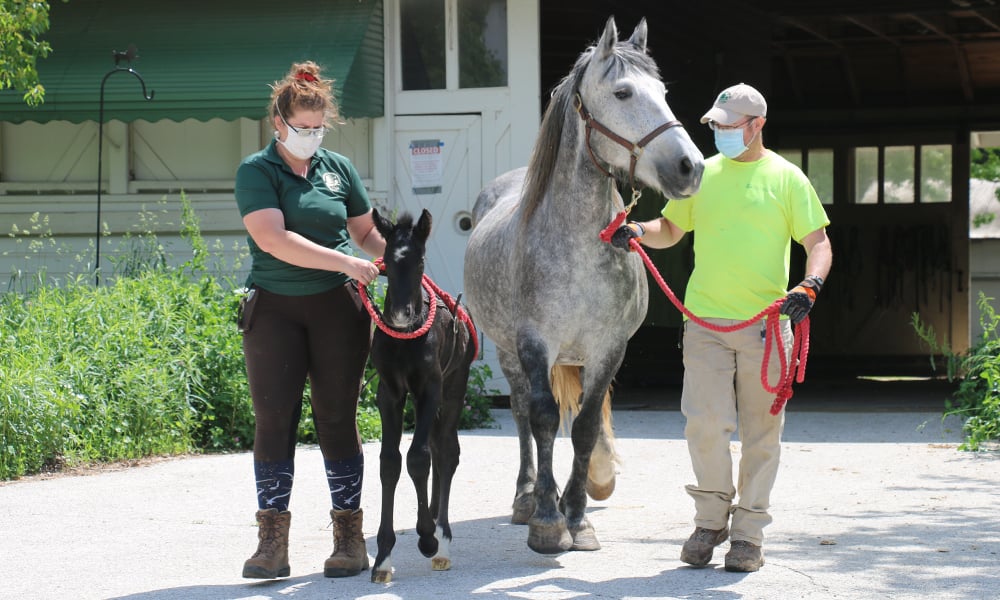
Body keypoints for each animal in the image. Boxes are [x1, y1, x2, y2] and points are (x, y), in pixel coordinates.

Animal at [462, 17, 704, 552]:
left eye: (663, 92)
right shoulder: (535, 344)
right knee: (521, 415)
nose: (691, 167)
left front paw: (577, 516)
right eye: (622, 92)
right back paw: (526, 497)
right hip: (507, 352)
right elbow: (545, 418)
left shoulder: (608, 347)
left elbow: (588, 426)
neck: (577, 244)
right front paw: (547, 520)